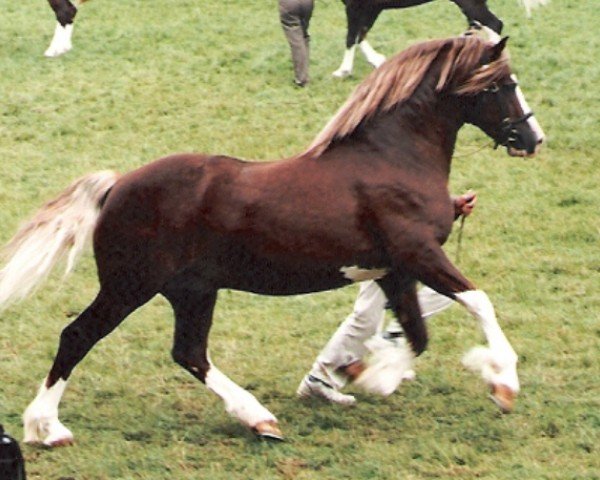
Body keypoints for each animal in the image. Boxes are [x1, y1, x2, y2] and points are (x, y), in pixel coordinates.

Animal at [0, 34, 544, 446]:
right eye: (504, 84)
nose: (533, 139)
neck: (392, 158)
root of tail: (116, 186)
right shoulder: (419, 255)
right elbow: (479, 302)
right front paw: (503, 384)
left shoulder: (393, 271)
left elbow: (416, 334)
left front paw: (367, 374)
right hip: (129, 287)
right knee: (78, 336)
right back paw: (46, 429)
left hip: (192, 291)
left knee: (189, 353)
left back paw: (259, 418)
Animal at [332, 0, 548, 77]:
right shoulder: (370, 7)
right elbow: (360, 34)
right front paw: (377, 61)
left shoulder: (356, 6)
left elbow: (352, 36)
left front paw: (342, 71)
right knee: (481, 24)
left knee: (493, 24)